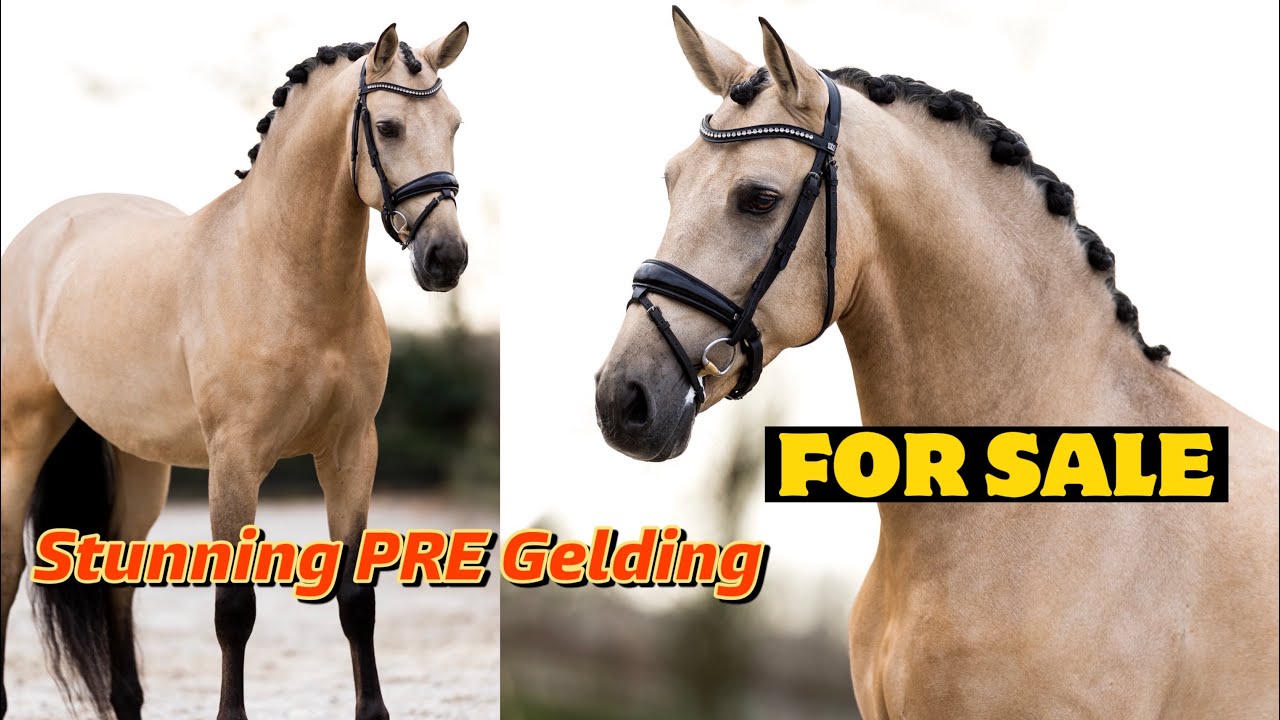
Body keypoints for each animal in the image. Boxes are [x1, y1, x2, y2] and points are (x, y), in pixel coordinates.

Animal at [1, 21, 470, 720]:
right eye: (387, 128)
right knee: (7, 568)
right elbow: (234, 609)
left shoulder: (352, 451)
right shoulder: (236, 461)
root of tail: (42, 235)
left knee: (115, 581)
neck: (283, 274)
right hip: (22, 442)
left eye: (454, 125)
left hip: (140, 466)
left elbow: (356, 600)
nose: (447, 258)